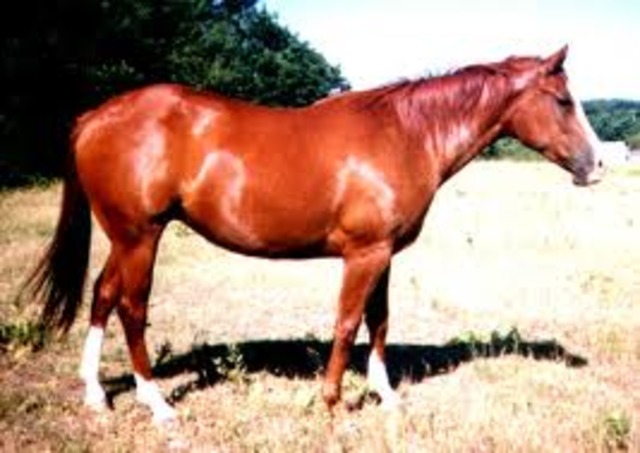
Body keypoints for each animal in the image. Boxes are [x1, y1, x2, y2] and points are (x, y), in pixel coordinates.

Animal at [22, 46, 603, 423]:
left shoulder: (384, 254)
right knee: (130, 308)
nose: (597, 165)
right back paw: (157, 403)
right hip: (140, 237)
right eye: (563, 101)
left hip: (125, 238)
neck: (406, 135)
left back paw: (96, 394)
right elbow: (347, 324)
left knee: (102, 295)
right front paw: (331, 401)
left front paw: (386, 396)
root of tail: (96, 116)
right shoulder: (364, 255)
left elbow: (379, 321)